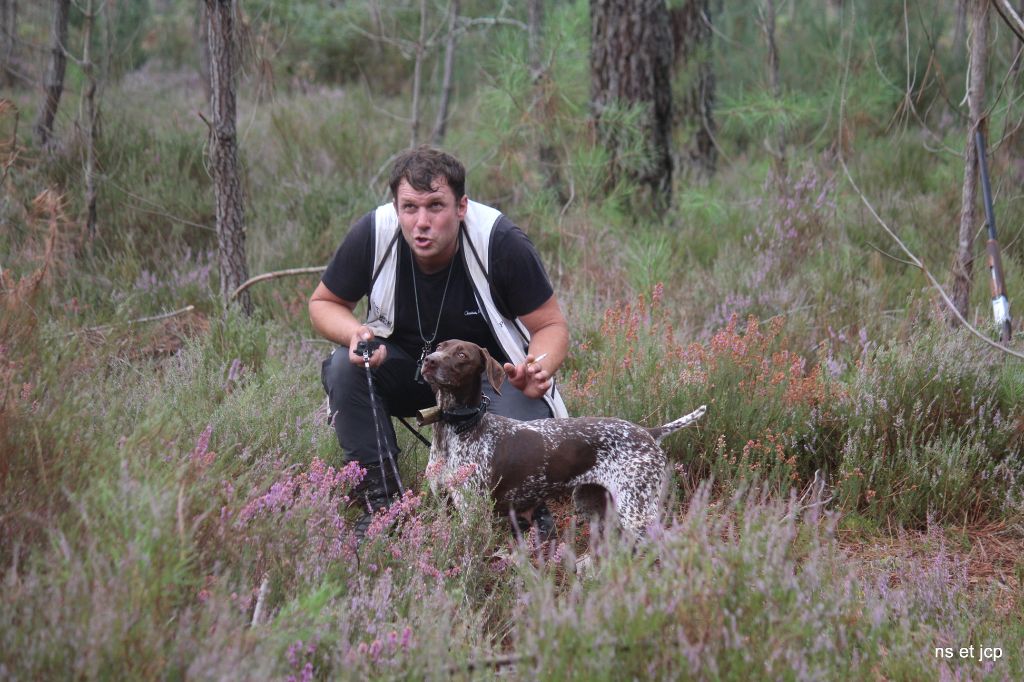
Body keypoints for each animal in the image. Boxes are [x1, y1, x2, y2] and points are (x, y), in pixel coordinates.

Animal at [417, 337, 704, 536]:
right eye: (440, 346)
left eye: (462, 355)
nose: (429, 360)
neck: (458, 429)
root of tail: (648, 432)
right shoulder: (445, 504)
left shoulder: (473, 514)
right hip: (593, 502)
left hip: (637, 510)